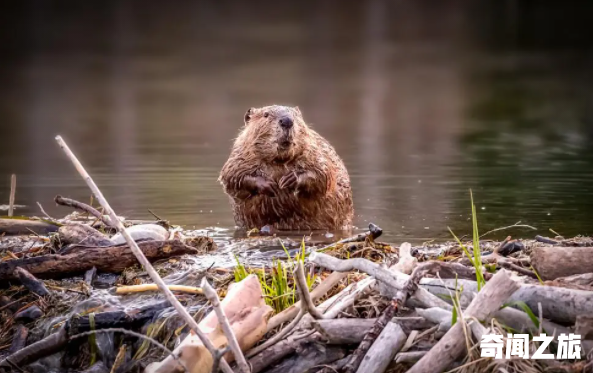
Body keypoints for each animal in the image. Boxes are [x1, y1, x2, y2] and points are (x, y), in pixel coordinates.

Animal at [220, 104, 354, 230]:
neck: (279, 161)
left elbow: (323, 173)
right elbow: (232, 176)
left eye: (295, 115)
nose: (287, 121)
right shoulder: (240, 155)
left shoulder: (315, 150)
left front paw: (289, 180)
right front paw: (269, 185)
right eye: (265, 114)